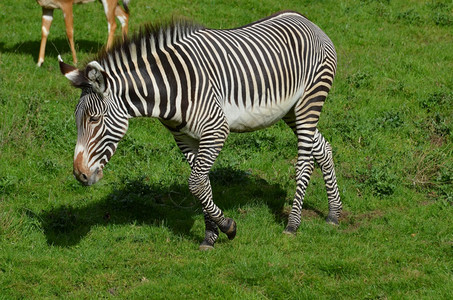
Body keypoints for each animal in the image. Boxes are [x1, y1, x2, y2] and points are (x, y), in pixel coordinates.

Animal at [60, 10, 342, 250]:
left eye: (94, 119)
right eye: (77, 120)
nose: (79, 174)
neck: (168, 87)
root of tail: (308, 21)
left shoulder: (216, 129)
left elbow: (195, 183)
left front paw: (228, 227)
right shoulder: (184, 137)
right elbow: (202, 184)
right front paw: (210, 235)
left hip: (309, 101)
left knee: (304, 162)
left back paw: (293, 224)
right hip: (291, 111)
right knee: (323, 148)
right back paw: (334, 214)